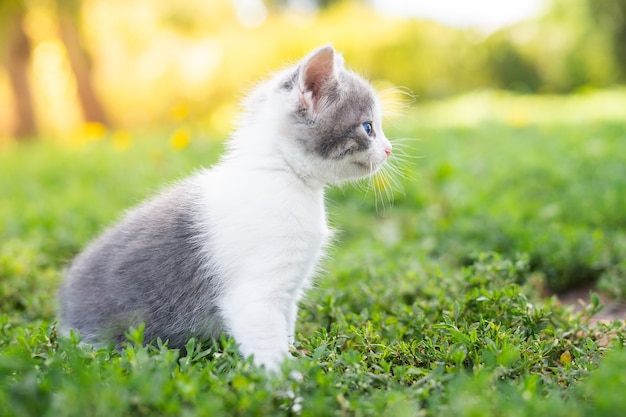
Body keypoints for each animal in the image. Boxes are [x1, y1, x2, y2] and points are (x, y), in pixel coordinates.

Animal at [57, 45, 390, 370]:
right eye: (368, 127)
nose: (388, 149)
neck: (280, 174)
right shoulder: (255, 298)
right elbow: (271, 351)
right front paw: (289, 383)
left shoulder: (288, 293)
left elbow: (285, 329)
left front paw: (296, 354)